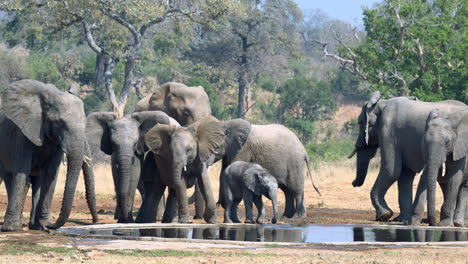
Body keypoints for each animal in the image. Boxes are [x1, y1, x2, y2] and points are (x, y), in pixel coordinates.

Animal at [0, 79, 92, 231]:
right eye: (59, 123)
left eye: (85, 123)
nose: (50, 225)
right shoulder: (23, 132)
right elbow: (22, 171)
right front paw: (12, 228)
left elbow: (51, 173)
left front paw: (42, 224)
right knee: (10, 178)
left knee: (35, 180)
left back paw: (34, 226)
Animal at [348, 92, 464, 224]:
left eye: (359, 123)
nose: (353, 183)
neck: (381, 104)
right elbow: (405, 174)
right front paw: (401, 220)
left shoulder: (388, 131)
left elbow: (392, 171)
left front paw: (384, 215)